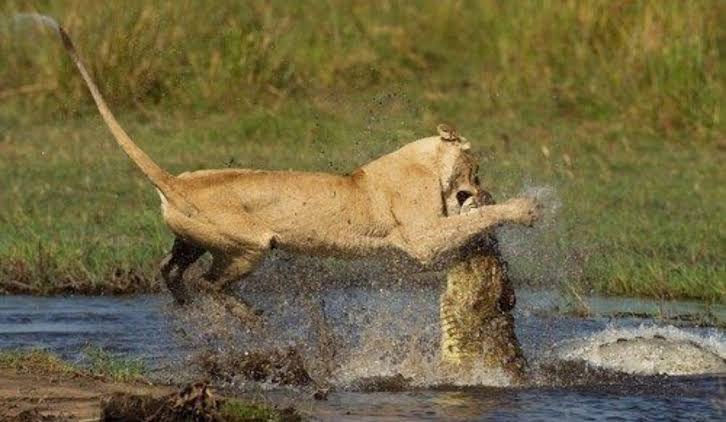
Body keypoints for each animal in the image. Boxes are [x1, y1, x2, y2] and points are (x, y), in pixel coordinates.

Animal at [52, 24, 541, 321]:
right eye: (477, 170)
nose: (481, 188)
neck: (426, 161)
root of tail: (174, 180)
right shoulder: (421, 241)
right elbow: (474, 220)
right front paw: (524, 208)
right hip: (250, 245)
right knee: (210, 282)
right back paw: (247, 316)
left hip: (192, 237)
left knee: (170, 267)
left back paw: (187, 303)